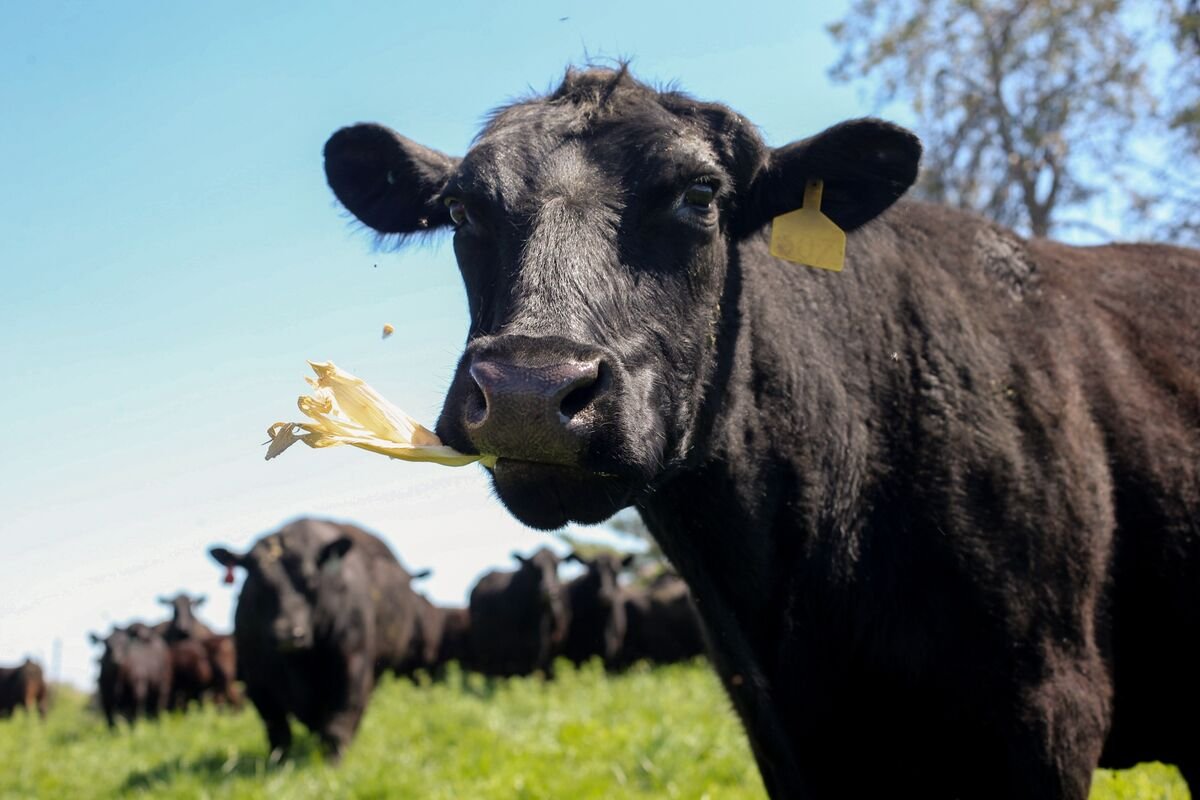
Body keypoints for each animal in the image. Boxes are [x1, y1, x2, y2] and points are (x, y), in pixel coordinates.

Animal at [209, 518, 425, 761]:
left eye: (310, 580)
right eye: (257, 582)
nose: (287, 634)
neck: (300, 662)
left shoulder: (353, 663)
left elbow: (339, 720)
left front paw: (333, 761)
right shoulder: (256, 679)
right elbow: (277, 730)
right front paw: (278, 763)